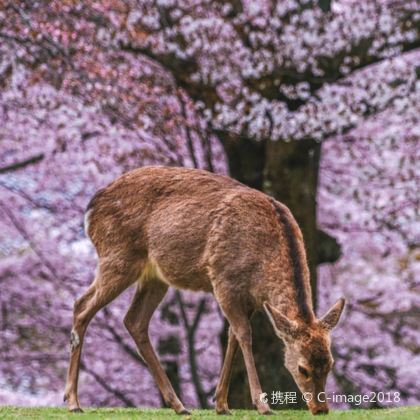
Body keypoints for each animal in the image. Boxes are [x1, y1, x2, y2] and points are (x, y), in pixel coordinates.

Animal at [62, 166, 344, 416]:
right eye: (303, 368)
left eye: (330, 364)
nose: (321, 409)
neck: (262, 266)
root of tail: (90, 209)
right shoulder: (223, 279)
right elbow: (244, 335)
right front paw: (262, 405)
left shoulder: (251, 298)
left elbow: (232, 336)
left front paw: (221, 404)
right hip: (117, 256)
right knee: (81, 306)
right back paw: (73, 401)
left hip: (154, 276)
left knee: (133, 320)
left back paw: (179, 405)